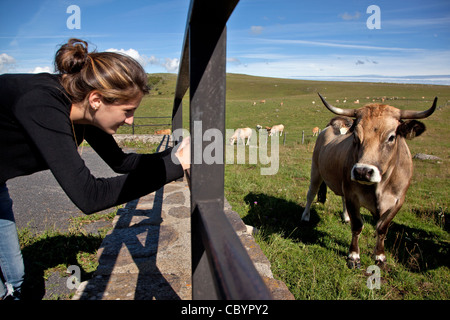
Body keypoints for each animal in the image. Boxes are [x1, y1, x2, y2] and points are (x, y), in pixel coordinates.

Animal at [302, 94, 436, 268]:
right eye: (355, 136)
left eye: (391, 137)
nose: (362, 172)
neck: (380, 186)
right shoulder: (352, 195)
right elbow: (357, 226)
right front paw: (353, 256)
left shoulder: (398, 201)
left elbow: (382, 228)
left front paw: (380, 256)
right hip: (316, 171)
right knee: (311, 194)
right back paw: (306, 216)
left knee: (341, 199)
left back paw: (345, 217)